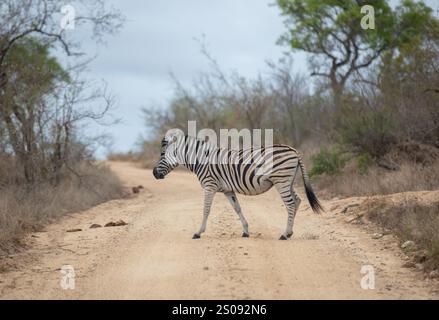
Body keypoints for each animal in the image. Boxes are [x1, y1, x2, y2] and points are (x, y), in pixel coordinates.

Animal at [152, 129, 324, 239]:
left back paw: (284, 234)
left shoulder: (209, 186)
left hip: (281, 181)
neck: (202, 160)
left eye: (162, 154)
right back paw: (289, 232)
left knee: (290, 204)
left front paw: (198, 232)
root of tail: (293, 150)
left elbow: (206, 210)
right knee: (297, 201)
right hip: (289, 181)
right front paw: (246, 231)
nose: (154, 173)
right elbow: (237, 208)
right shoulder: (228, 190)